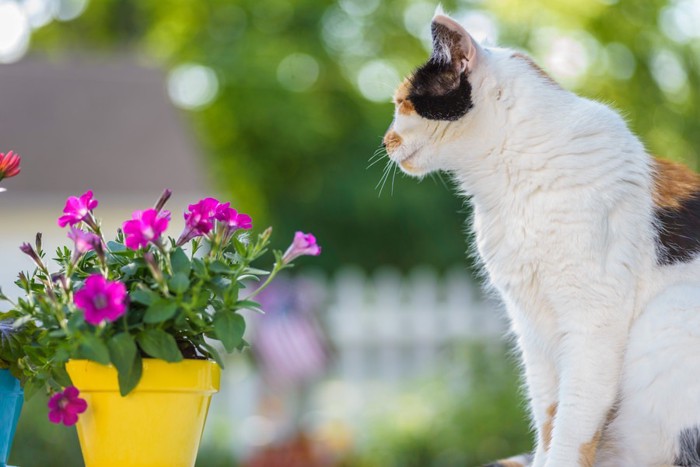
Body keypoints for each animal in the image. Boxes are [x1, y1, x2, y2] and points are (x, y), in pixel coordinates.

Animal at [382, 10, 700, 467]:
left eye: (403, 103)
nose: (385, 140)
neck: (507, 184)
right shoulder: (531, 323)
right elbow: (549, 414)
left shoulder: (591, 322)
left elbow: (574, 422)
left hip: (669, 313)